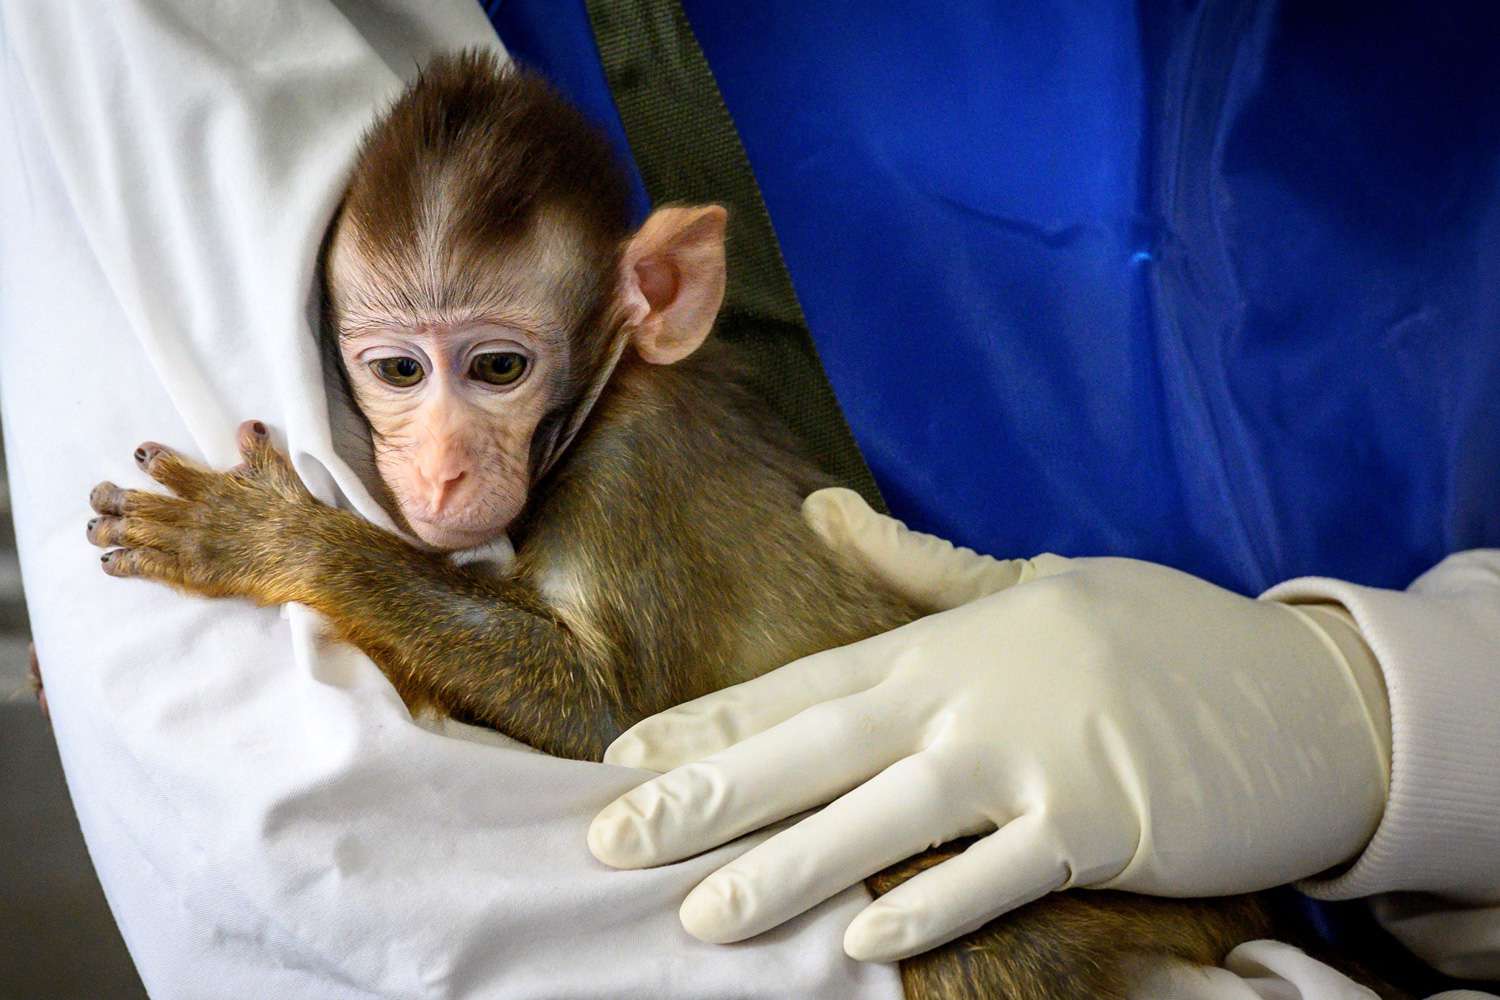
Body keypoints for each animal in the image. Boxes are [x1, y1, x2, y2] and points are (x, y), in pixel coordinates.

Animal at [82, 51, 1404, 1000]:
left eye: (499, 367)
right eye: (400, 370)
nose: (447, 466)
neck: (609, 391)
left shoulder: (628, 481)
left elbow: (612, 716)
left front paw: (271, 540)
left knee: (973, 946)